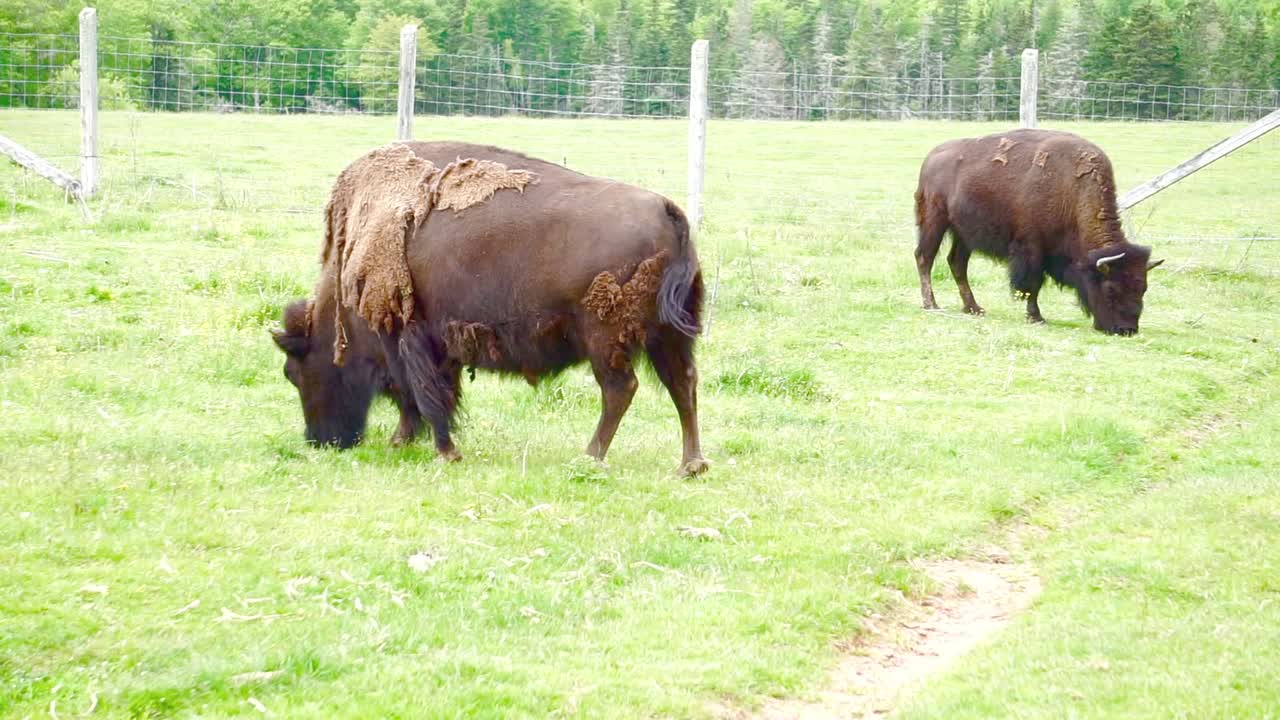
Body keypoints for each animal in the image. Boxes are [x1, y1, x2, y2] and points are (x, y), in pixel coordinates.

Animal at [273, 142, 709, 475]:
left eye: (294, 372)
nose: (320, 441)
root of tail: (668, 210)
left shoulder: (407, 339)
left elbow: (423, 395)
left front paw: (442, 451)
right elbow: (428, 395)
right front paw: (407, 442)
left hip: (607, 340)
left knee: (621, 390)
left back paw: (590, 456)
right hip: (669, 335)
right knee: (683, 384)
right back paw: (691, 465)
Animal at [914, 129, 1163, 335]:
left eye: (1143, 288)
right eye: (1111, 289)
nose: (1127, 329)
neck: (1071, 190)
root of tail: (931, 157)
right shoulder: (1031, 249)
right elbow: (1032, 284)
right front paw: (1036, 317)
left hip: (964, 234)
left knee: (957, 263)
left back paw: (974, 308)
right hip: (934, 222)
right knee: (925, 257)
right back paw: (931, 304)